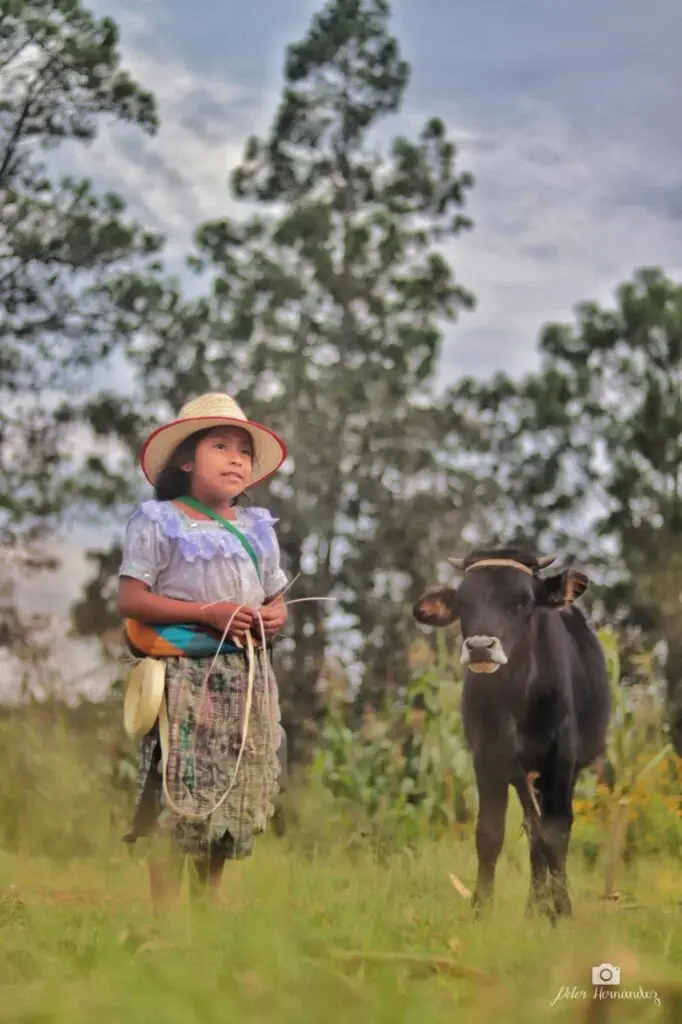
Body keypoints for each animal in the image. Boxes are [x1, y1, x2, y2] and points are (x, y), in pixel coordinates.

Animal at [411, 548, 606, 925]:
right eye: (464, 602)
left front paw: (562, 911)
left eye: (524, 602)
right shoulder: (487, 758)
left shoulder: (561, 759)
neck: (516, 694)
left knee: (549, 830)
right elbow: (490, 834)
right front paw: (480, 908)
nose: (480, 647)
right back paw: (534, 907)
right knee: (533, 831)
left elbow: (555, 835)